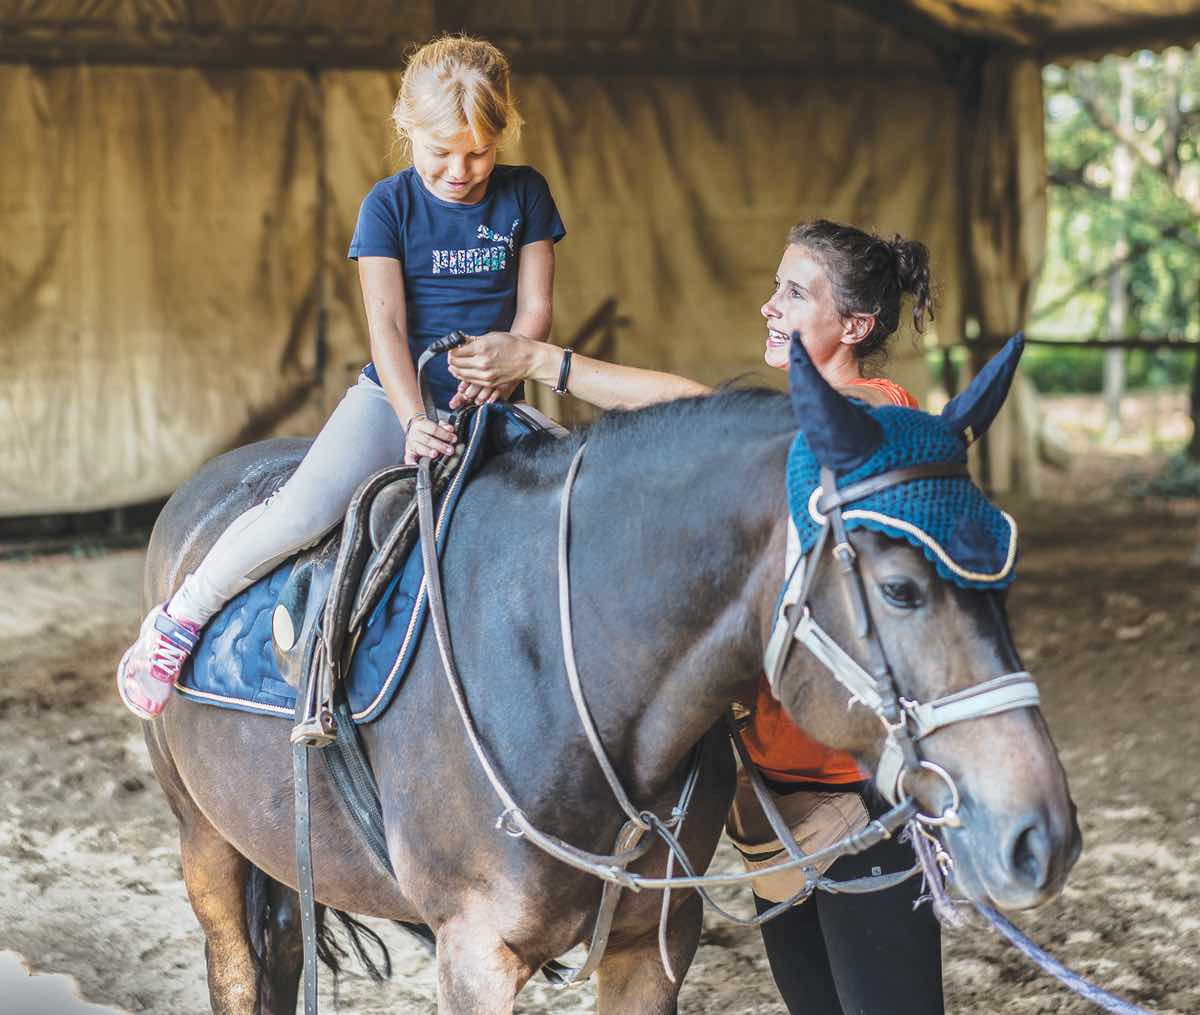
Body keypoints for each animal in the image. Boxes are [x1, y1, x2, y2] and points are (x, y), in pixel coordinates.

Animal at [140, 340, 1080, 1015]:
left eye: (1002, 574)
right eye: (900, 589)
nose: (1042, 833)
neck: (568, 675)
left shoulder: (652, 944)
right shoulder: (475, 954)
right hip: (203, 838)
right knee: (237, 969)